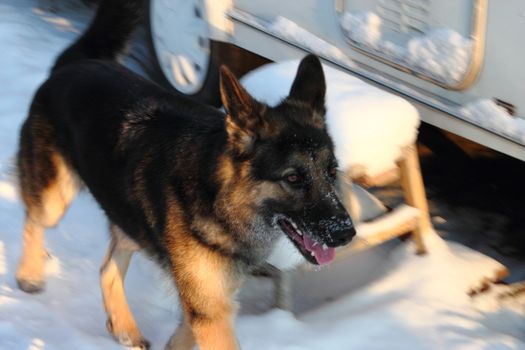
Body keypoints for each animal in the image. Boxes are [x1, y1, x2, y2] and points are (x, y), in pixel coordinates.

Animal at [13, 0, 356, 348]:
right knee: (33, 219)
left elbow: (183, 333)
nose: (346, 234)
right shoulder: (210, 308)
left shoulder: (209, 303)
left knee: (107, 266)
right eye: (293, 178)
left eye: (331, 171)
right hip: (56, 200)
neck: (219, 197)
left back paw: (123, 326)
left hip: (131, 220)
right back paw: (29, 273)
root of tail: (77, 62)